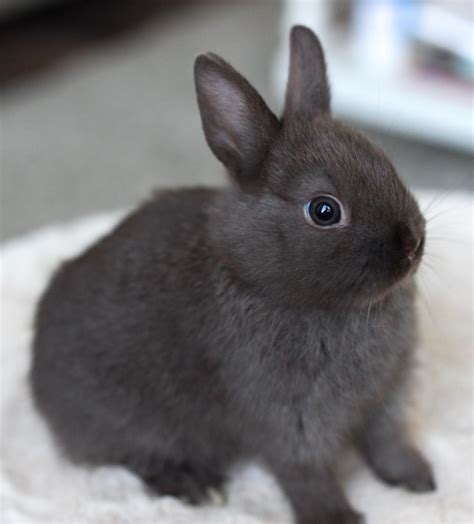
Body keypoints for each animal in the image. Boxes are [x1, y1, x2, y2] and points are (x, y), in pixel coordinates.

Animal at [31, 25, 436, 524]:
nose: (412, 244)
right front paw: (338, 518)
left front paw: (417, 479)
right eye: (324, 210)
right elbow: (307, 475)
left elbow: (388, 442)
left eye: (386, 163)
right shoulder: (290, 420)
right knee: (135, 459)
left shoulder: (387, 396)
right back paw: (196, 487)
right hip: (127, 423)